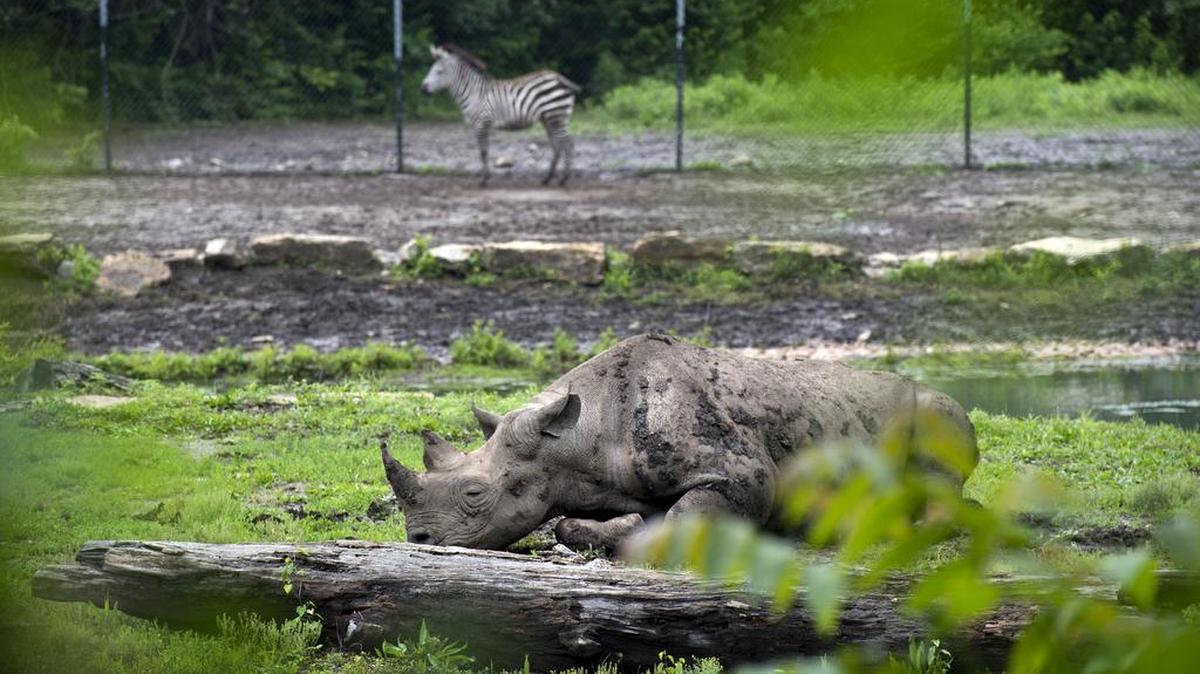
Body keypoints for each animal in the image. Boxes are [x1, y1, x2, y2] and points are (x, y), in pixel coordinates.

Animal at [381, 334, 977, 551]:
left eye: (475, 495)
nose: (419, 540)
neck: (578, 438)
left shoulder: (739, 473)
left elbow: (687, 516)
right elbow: (575, 524)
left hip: (938, 410)